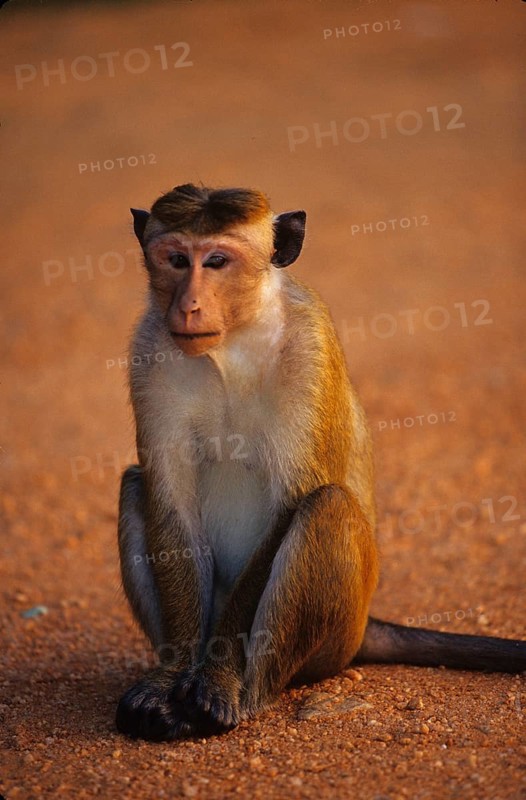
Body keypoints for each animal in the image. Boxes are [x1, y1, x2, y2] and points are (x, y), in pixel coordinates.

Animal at [115, 183, 526, 742]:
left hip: (332, 641)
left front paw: (217, 682)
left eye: (217, 261)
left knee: (325, 507)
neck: (233, 345)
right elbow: (167, 498)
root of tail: (364, 624)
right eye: (177, 259)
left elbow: (294, 502)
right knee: (135, 485)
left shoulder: (310, 345)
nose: (189, 304)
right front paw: (168, 677)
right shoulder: (149, 349)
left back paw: (243, 697)